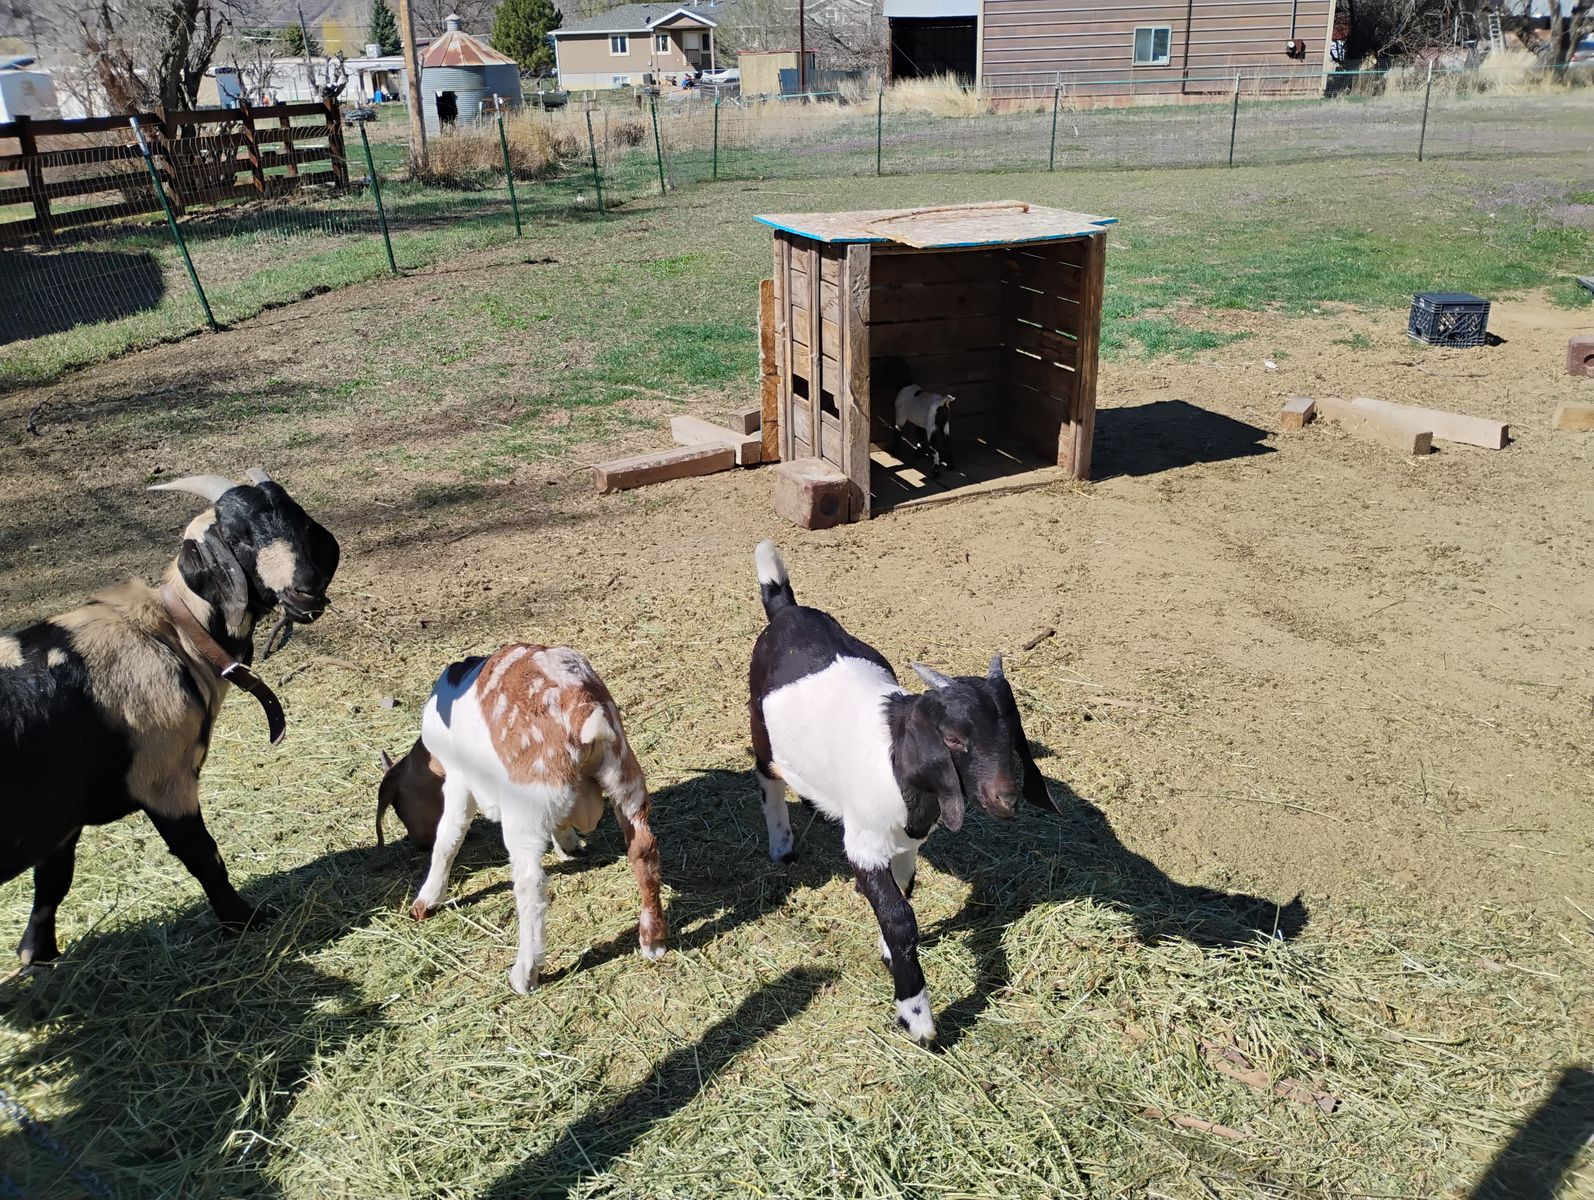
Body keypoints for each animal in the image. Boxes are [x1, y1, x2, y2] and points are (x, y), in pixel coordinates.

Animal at [0, 469, 340, 966]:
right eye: (236, 536)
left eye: (299, 524)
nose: (305, 589)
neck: (174, 633)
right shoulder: (165, 778)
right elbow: (203, 854)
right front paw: (247, 920)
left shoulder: (60, 815)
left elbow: (53, 882)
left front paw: (37, 955)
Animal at [386, 644, 666, 993]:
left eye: (400, 807)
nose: (414, 841)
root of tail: (583, 712)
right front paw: (569, 844)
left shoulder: (459, 783)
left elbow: (448, 840)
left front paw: (426, 901)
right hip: (627, 783)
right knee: (644, 852)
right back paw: (653, 941)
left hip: (525, 810)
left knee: (531, 884)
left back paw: (525, 973)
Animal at [748, 541, 1051, 1042]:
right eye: (953, 738)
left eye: (1013, 732)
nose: (1006, 798)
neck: (896, 762)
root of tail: (786, 609)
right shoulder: (865, 843)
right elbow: (899, 917)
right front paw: (917, 1017)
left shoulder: (909, 841)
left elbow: (904, 892)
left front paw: (888, 952)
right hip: (760, 725)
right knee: (767, 777)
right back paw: (781, 844)